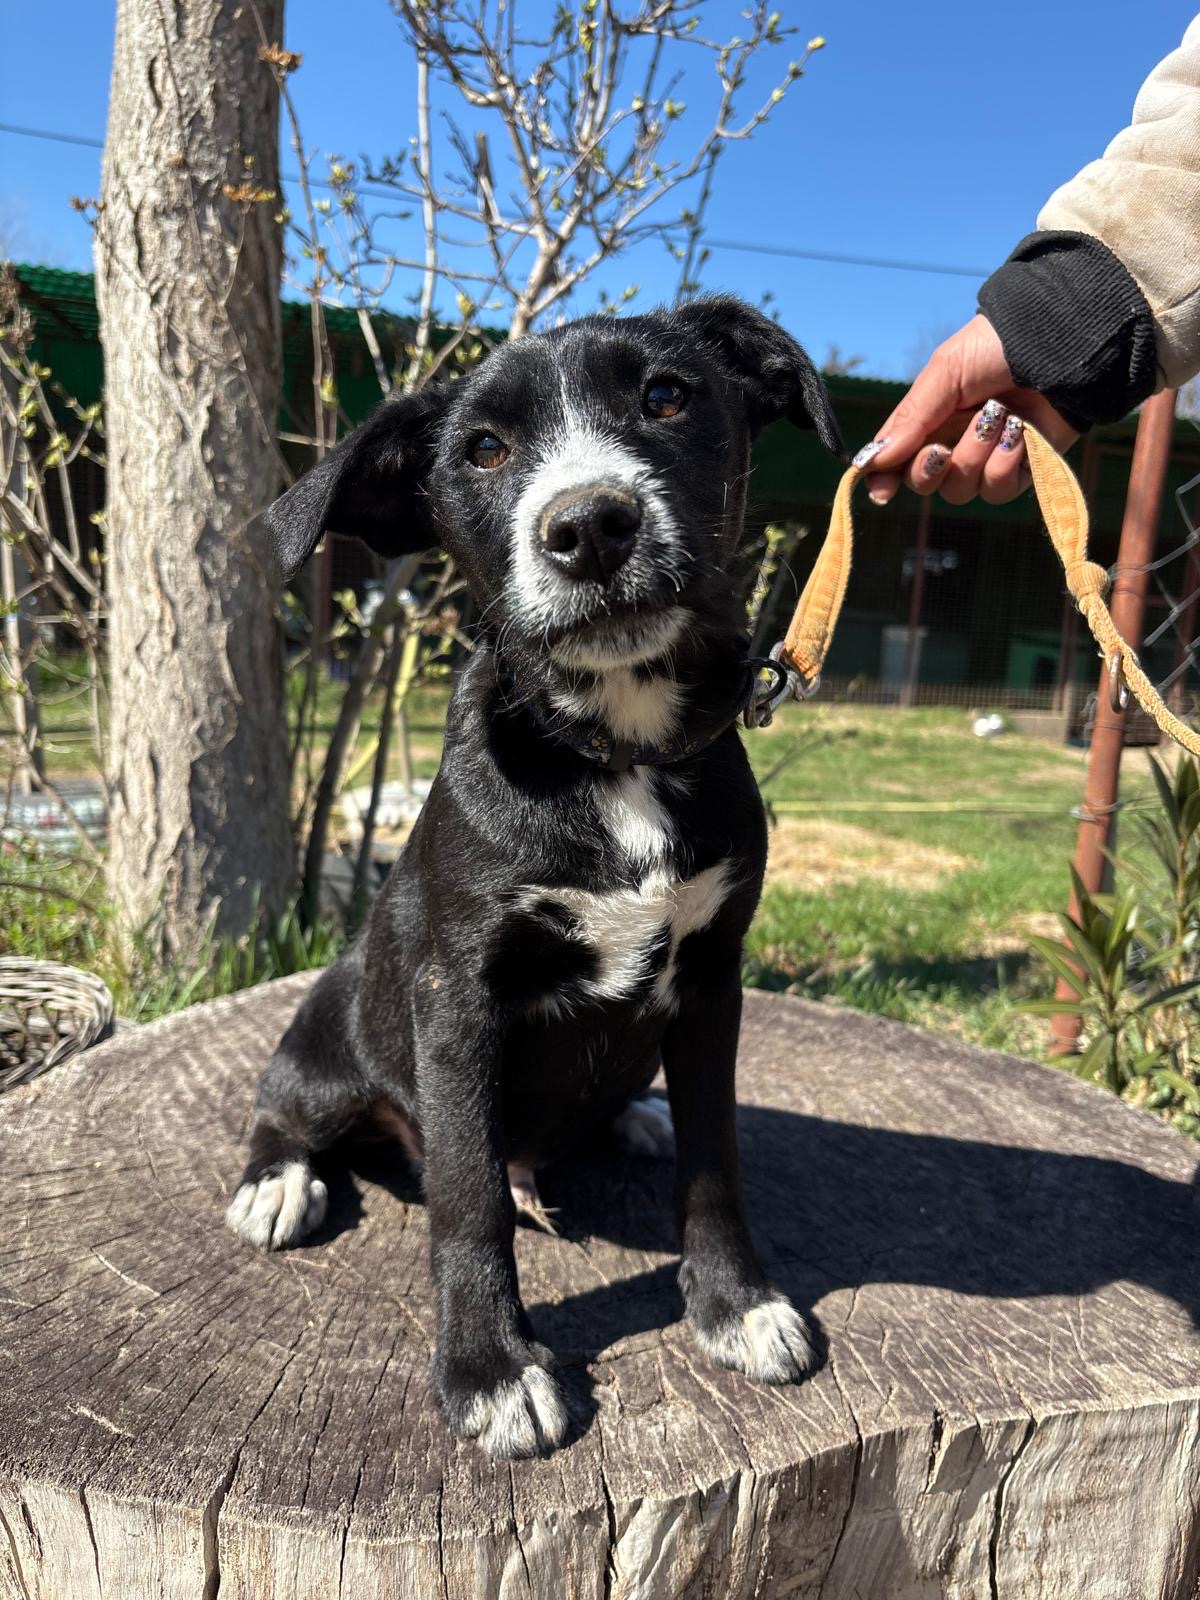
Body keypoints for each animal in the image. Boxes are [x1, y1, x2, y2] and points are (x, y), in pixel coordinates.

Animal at [226, 294, 844, 1458]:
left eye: (666, 395)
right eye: (483, 450)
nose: (589, 527)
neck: (615, 751)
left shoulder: (713, 979)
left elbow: (715, 1158)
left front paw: (735, 1305)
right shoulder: (458, 997)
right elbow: (468, 1195)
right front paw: (491, 1371)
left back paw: (632, 1120)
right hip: (338, 1038)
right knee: (290, 1105)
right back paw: (276, 1184)